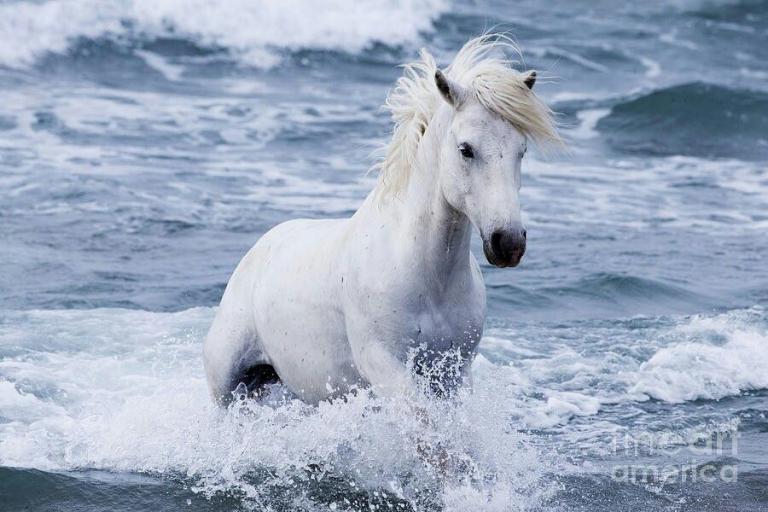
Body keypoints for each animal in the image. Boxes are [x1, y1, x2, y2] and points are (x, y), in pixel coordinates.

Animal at [203, 35, 561, 406]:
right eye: (466, 149)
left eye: (522, 151)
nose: (509, 243)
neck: (426, 275)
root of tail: (259, 249)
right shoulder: (384, 364)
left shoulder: (453, 371)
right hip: (227, 385)